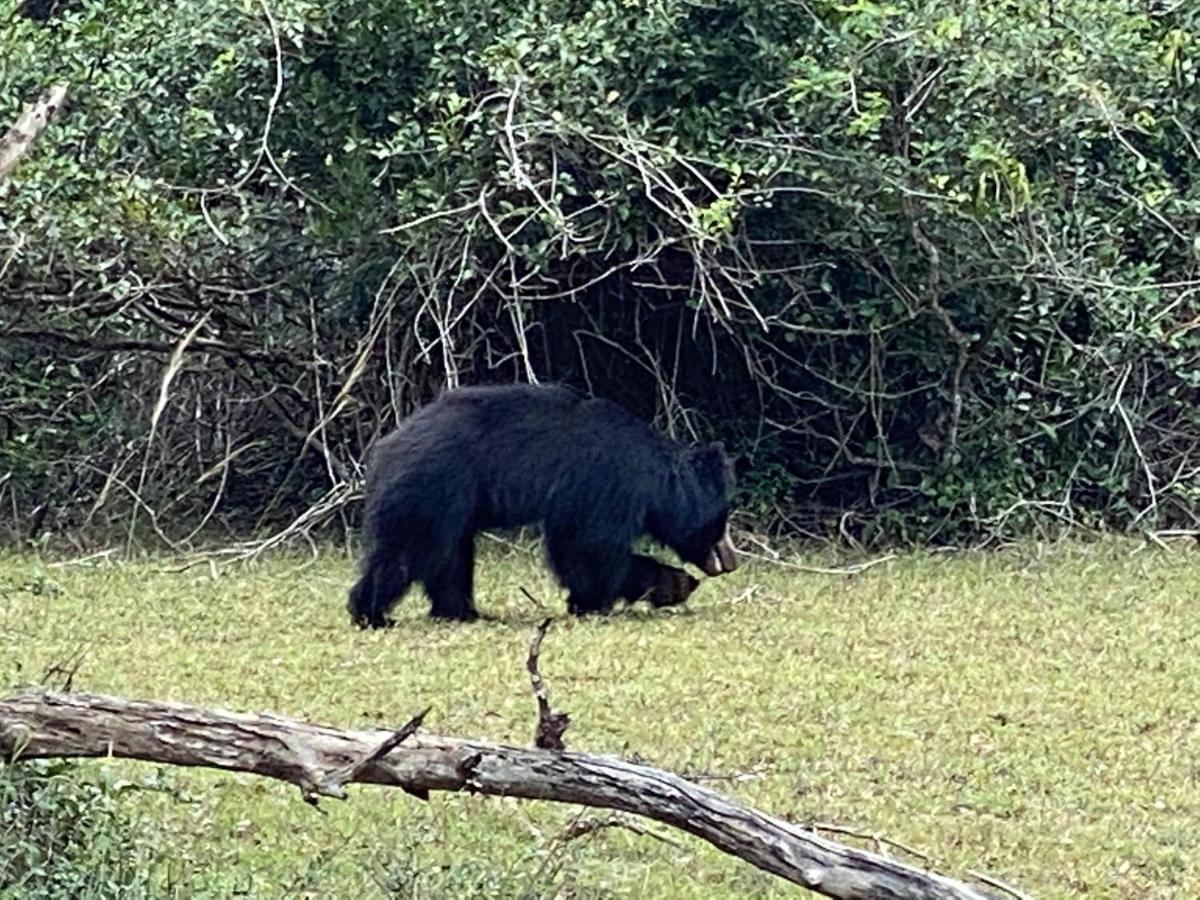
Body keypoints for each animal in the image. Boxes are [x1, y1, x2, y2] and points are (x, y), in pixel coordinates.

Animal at [348, 384, 734, 628]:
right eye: (722, 520)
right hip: (431, 488)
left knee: (451, 558)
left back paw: (461, 611)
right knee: (407, 552)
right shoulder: (604, 482)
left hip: (450, 504)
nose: (731, 562)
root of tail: (384, 449)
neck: (653, 477)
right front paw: (598, 601)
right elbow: (587, 546)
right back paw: (371, 613)